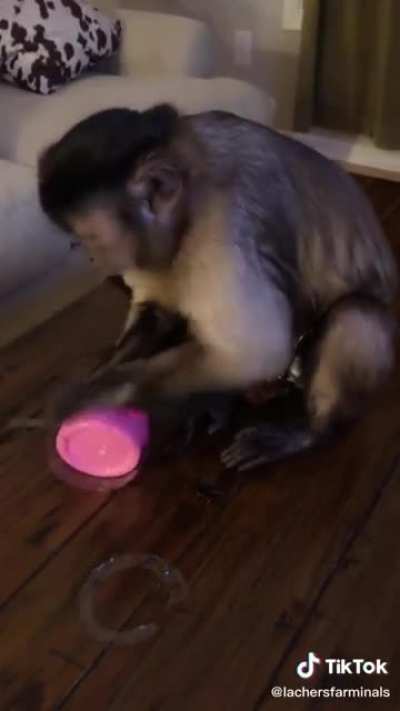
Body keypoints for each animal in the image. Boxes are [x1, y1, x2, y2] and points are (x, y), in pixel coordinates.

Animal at [37, 104, 398, 471]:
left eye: (91, 239)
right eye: (79, 242)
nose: (94, 259)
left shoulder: (217, 230)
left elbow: (256, 352)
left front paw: (96, 396)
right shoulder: (153, 253)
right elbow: (157, 312)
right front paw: (101, 374)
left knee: (355, 314)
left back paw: (312, 431)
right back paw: (215, 403)